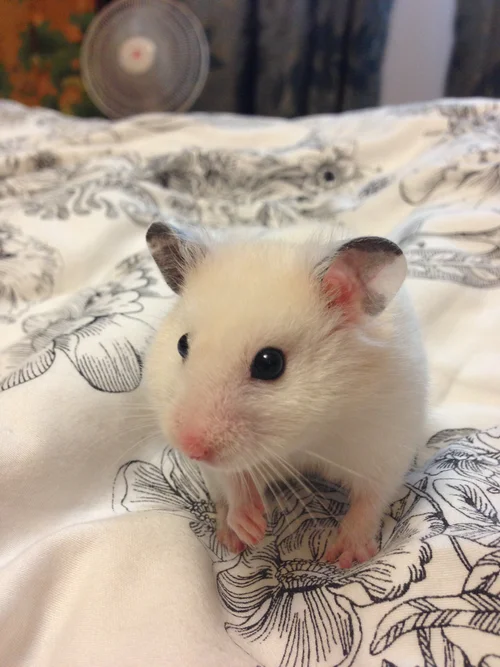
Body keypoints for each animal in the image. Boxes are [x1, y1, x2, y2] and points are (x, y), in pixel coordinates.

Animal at [145, 220, 428, 568]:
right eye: (182, 344)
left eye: (270, 363)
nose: (190, 449)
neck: (308, 438)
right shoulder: (229, 466)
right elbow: (234, 482)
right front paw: (250, 530)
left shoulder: (384, 448)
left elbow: (369, 500)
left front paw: (344, 558)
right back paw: (230, 538)